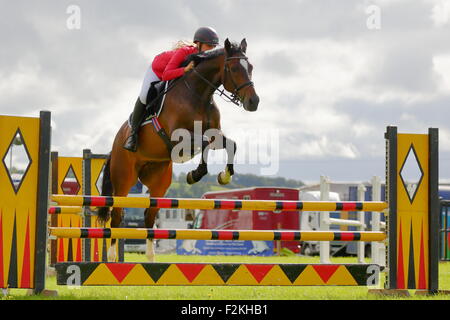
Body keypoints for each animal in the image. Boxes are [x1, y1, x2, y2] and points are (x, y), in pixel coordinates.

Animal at [98, 38, 260, 262]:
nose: (254, 102)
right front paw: (196, 174)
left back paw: (151, 258)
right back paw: (113, 257)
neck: (199, 94)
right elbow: (204, 142)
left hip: (159, 181)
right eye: (235, 68)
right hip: (123, 178)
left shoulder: (213, 133)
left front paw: (223, 176)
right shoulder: (178, 139)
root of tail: (115, 146)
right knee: (116, 214)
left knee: (149, 216)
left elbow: (229, 144)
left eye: (251, 67)